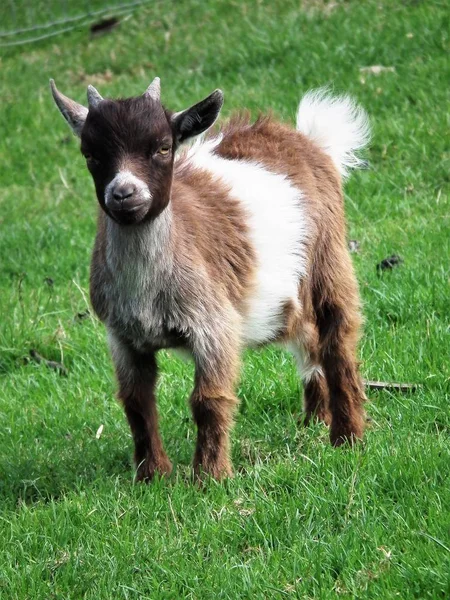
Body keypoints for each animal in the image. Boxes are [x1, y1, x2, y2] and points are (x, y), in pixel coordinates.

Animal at [51, 78, 370, 482]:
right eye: (90, 153)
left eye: (163, 146)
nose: (123, 194)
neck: (147, 290)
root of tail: (305, 138)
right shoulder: (122, 335)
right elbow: (137, 402)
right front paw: (152, 475)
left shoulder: (213, 324)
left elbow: (208, 400)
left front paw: (210, 477)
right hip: (287, 296)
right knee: (308, 335)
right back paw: (315, 419)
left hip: (329, 254)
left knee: (337, 335)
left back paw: (346, 435)